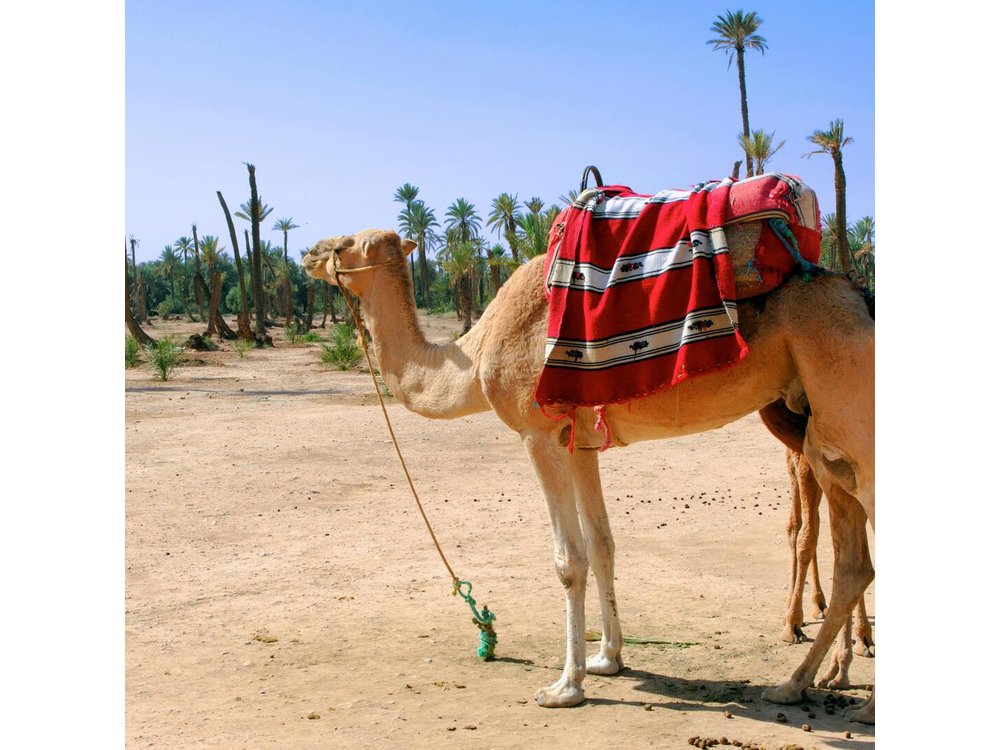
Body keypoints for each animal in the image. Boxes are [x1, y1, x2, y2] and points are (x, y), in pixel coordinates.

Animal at [303, 228, 876, 724]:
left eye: (346, 243)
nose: (309, 253)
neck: (479, 350)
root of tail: (860, 295)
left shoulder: (537, 434)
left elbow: (568, 560)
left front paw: (565, 685)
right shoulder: (578, 442)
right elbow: (603, 544)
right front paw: (608, 658)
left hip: (849, 413)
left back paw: (851, 697)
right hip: (823, 435)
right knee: (853, 561)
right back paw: (797, 684)